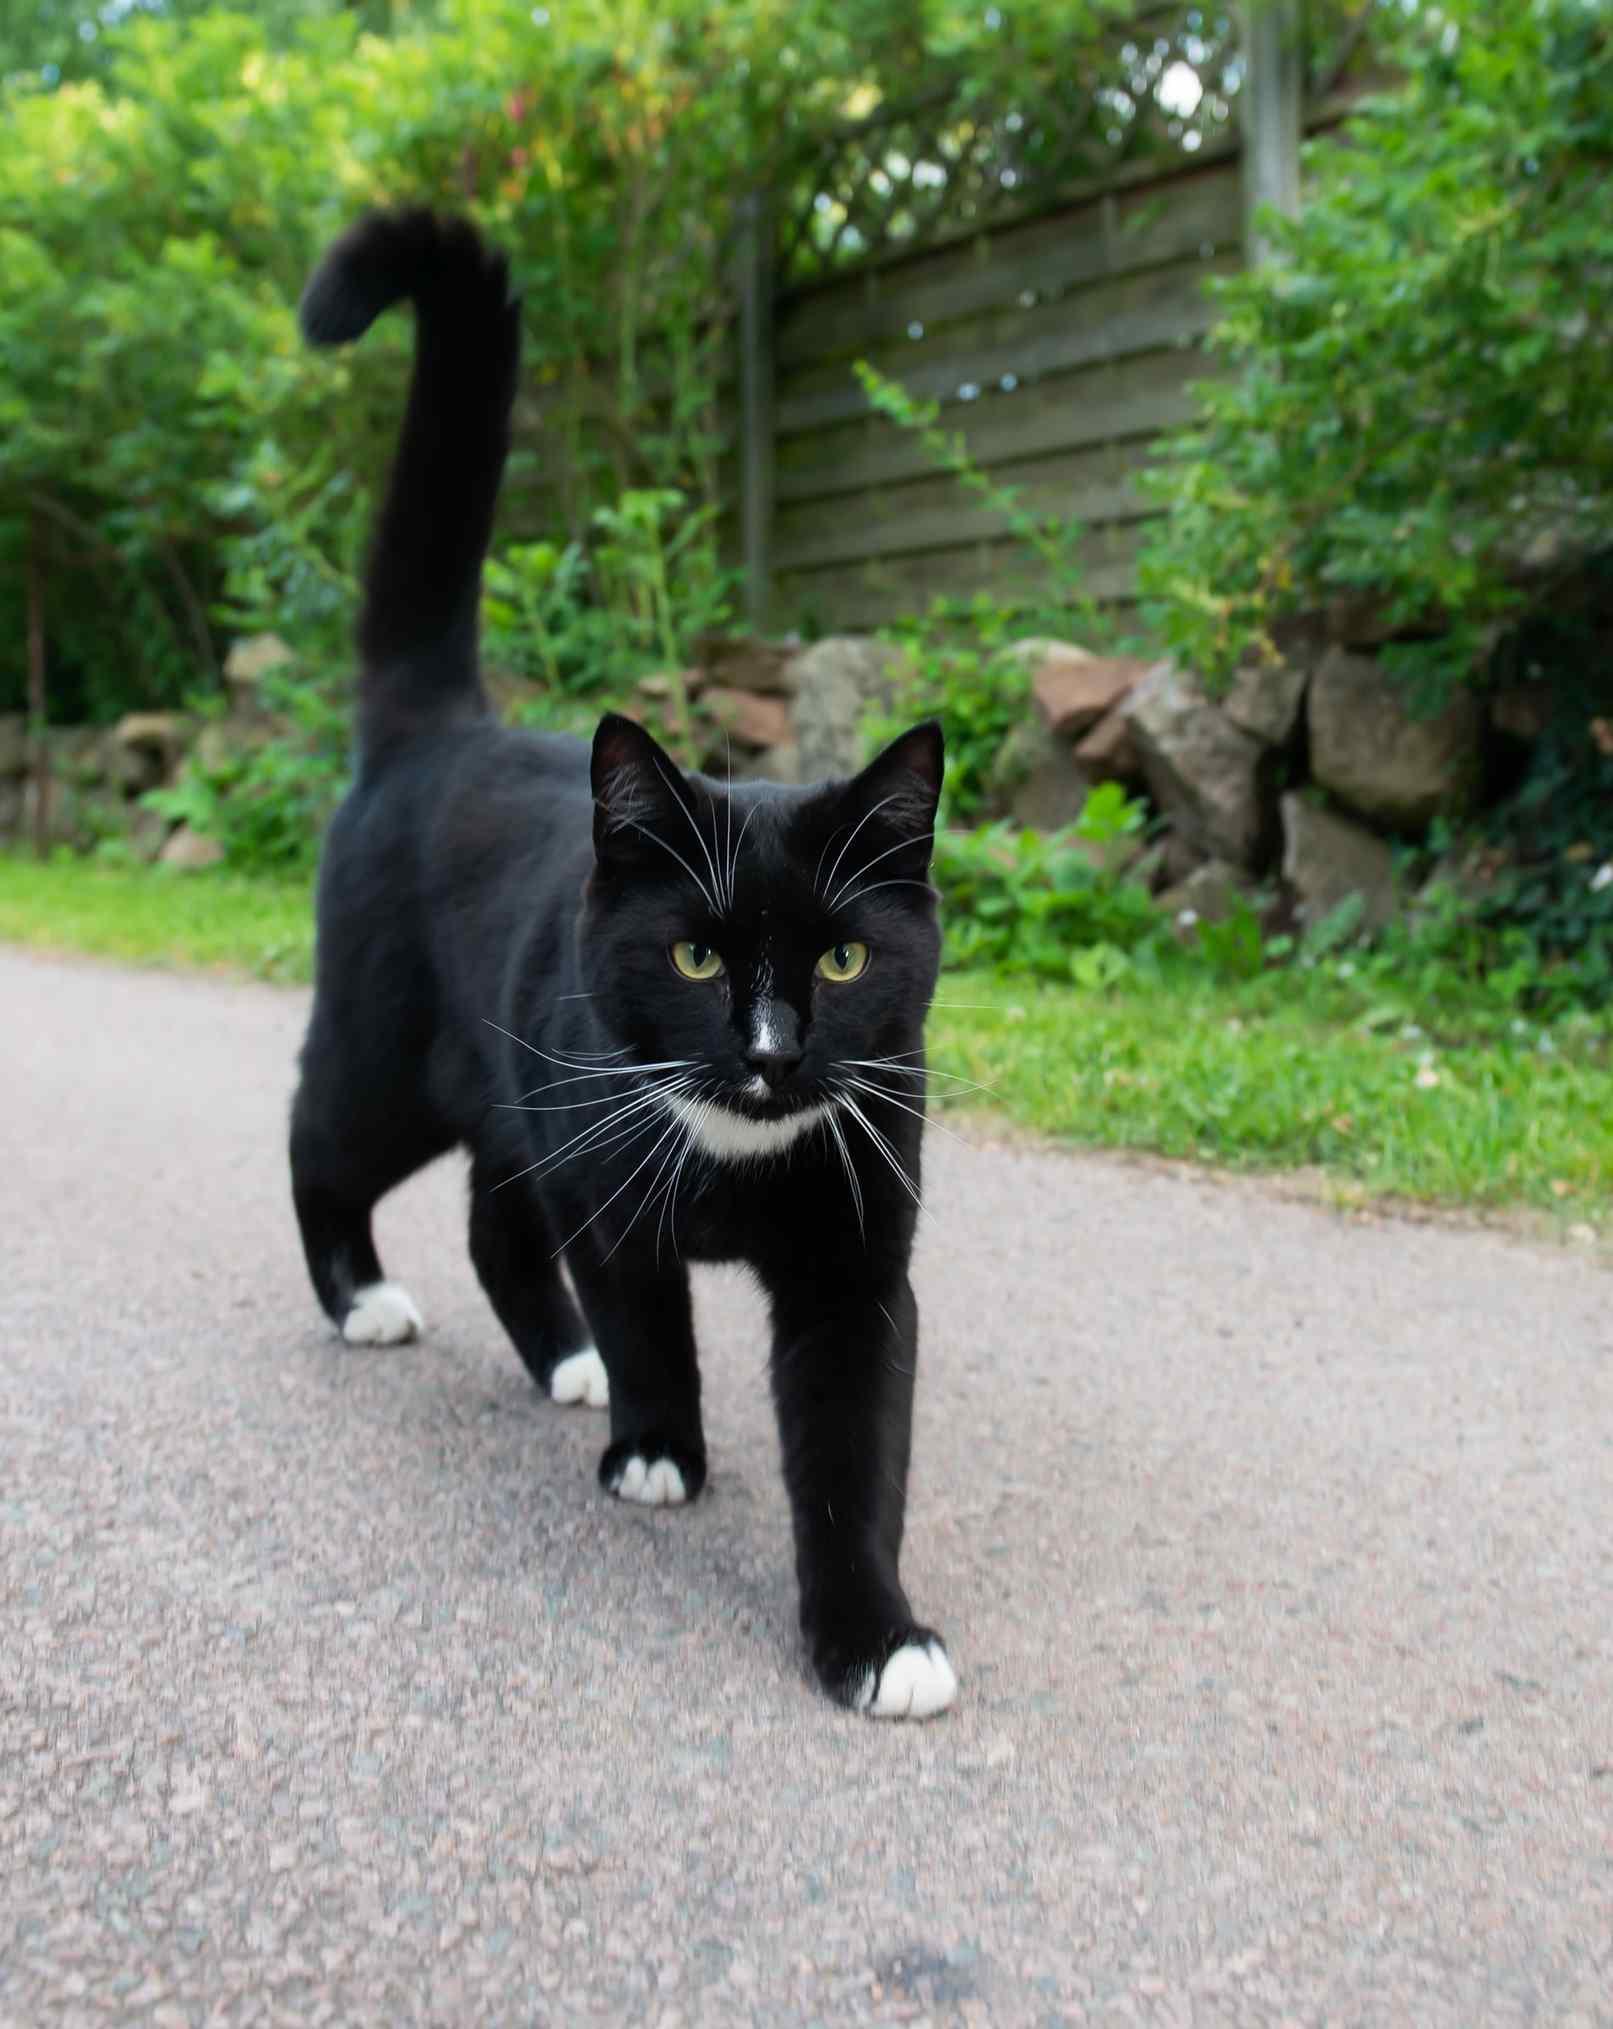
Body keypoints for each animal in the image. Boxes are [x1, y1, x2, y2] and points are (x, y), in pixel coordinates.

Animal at [286, 214, 957, 1720]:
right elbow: (647, 1312)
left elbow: (854, 1448)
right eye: (696, 950)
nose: (770, 1052)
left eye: (841, 957)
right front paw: (659, 1447)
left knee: (492, 1221)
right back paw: (366, 1300)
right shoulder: (604, 1179)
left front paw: (874, 1636)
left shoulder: (855, 1253)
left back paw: (562, 1360)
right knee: (316, 1139)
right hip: (392, 1048)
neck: (735, 1156)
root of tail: (437, 727)